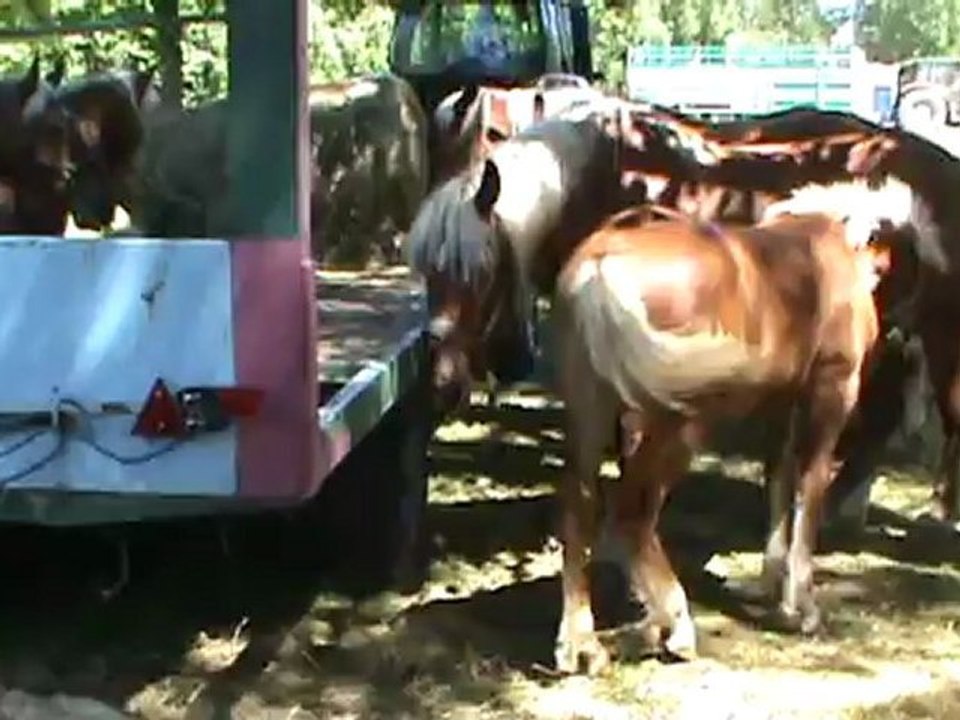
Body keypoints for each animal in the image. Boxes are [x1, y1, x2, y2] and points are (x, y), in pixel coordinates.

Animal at [549, 204, 908, 674]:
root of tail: (599, 266)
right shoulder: (830, 393)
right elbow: (808, 491)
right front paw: (802, 609)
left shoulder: (781, 408)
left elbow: (778, 484)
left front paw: (771, 589)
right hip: (673, 427)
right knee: (633, 512)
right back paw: (676, 628)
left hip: (591, 413)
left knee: (581, 506)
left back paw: (584, 645)